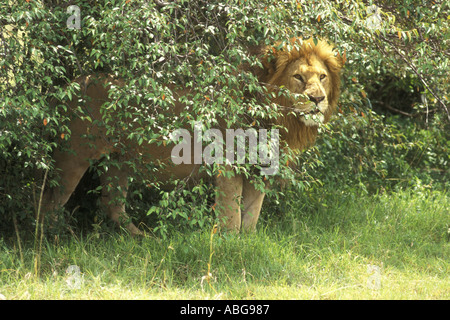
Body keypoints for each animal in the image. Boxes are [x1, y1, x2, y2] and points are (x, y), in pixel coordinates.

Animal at [42, 38, 342, 236]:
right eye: (298, 78)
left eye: (322, 77)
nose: (318, 99)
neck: (280, 120)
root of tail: (69, 85)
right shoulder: (228, 165)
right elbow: (231, 214)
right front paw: (230, 245)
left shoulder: (259, 170)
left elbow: (251, 216)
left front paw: (247, 243)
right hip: (73, 157)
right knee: (51, 202)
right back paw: (53, 239)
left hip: (119, 162)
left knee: (111, 204)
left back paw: (141, 239)